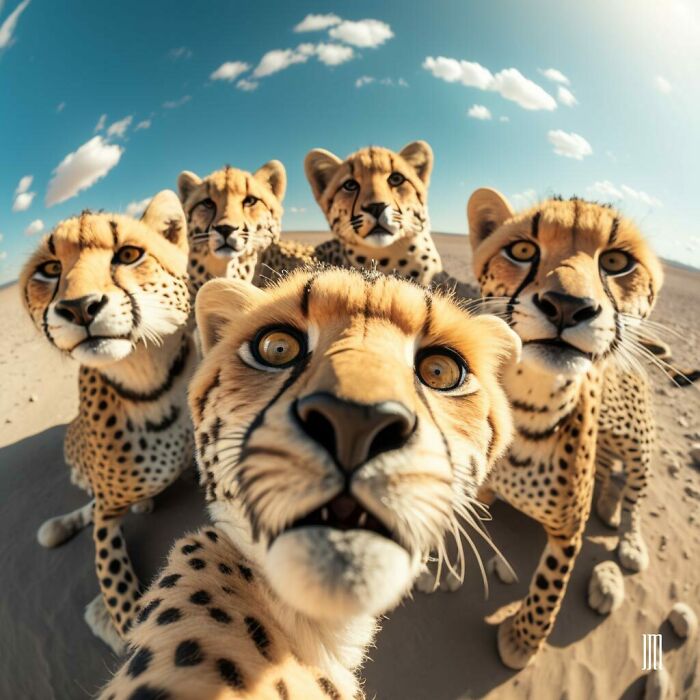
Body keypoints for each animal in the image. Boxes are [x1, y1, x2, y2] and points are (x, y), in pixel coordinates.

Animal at [20, 191, 197, 651]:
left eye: (130, 254)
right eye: (50, 269)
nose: (80, 308)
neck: (149, 386)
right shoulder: (105, 515)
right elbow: (116, 588)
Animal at [465, 189, 664, 669]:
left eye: (616, 262)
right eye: (522, 251)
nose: (568, 306)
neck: (529, 403)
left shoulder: (568, 530)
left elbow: (551, 583)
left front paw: (523, 641)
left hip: (639, 445)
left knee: (635, 495)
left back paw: (629, 539)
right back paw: (607, 504)